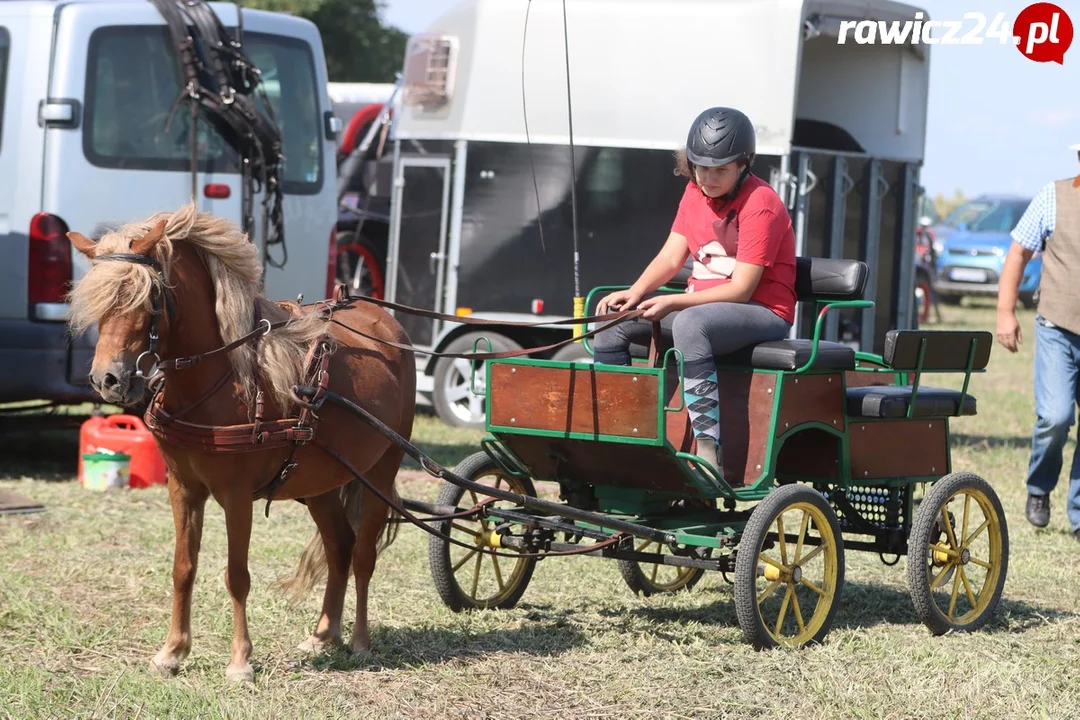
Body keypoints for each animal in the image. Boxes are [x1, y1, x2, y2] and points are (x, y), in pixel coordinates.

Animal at [64, 201, 416, 682]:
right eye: (98, 301)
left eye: (149, 298)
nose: (108, 379)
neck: (215, 383)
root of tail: (390, 327)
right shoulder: (182, 487)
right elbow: (183, 568)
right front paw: (172, 652)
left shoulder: (235, 495)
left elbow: (236, 575)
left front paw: (240, 661)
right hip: (321, 482)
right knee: (340, 547)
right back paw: (323, 634)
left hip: (381, 469)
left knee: (363, 554)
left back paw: (360, 640)